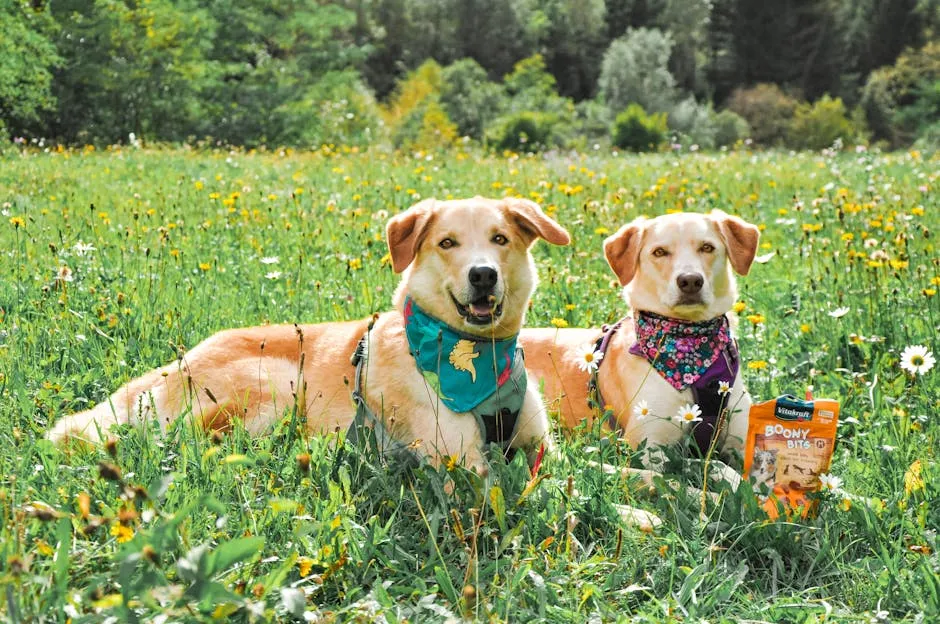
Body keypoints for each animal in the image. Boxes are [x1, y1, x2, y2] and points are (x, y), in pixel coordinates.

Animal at [524, 210, 760, 528]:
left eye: (707, 247)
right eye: (659, 252)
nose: (690, 281)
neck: (689, 349)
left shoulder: (745, 438)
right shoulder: (647, 449)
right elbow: (685, 470)